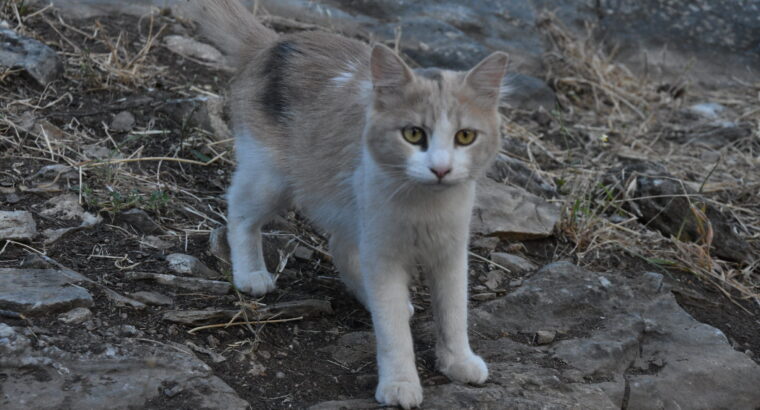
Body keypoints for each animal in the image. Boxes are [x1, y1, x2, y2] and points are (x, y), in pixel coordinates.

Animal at [188, 1, 510, 408]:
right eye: (413, 134)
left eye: (465, 137)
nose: (440, 168)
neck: (424, 204)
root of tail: (275, 41)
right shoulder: (383, 253)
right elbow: (393, 332)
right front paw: (400, 384)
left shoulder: (450, 253)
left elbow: (454, 314)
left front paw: (458, 362)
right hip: (271, 179)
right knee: (240, 212)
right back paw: (251, 275)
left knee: (339, 247)